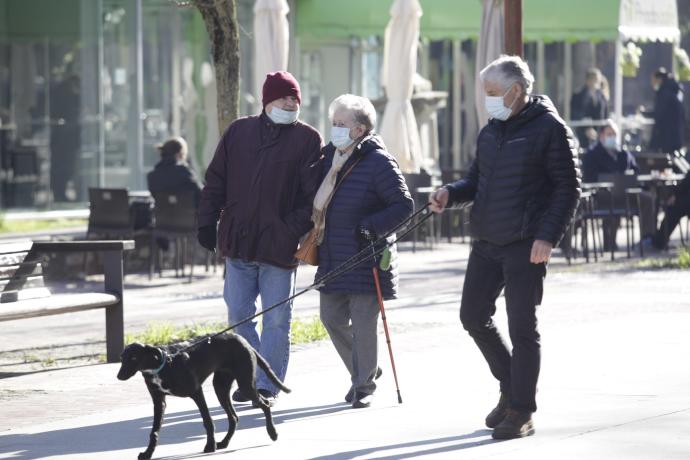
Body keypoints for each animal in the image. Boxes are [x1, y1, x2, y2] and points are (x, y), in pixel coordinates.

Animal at [117, 332, 288, 458]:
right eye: (122, 358)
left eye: (134, 358)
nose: (119, 376)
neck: (163, 365)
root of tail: (243, 341)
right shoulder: (159, 402)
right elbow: (154, 431)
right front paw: (148, 453)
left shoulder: (196, 392)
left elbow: (208, 421)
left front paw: (210, 446)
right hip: (221, 387)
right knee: (234, 417)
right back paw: (224, 443)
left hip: (245, 385)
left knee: (265, 404)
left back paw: (272, 433)